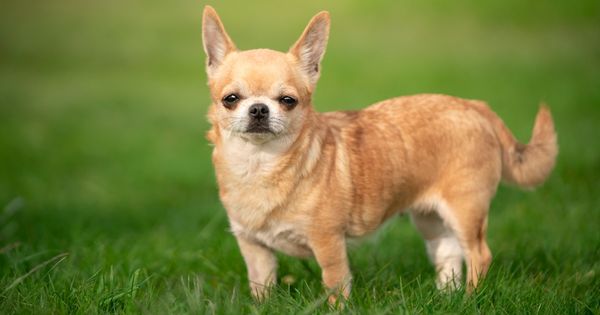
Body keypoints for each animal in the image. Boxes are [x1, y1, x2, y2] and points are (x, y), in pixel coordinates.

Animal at [200, 5, 556, 304]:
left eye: (288, 101)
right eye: (231, 99)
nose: (259, 109)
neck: (259, 166)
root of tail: (475, 107)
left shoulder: (328, 244)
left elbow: (335, 285)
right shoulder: (254, 249)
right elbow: (261, 286)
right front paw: (263, 307)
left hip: (465, 210)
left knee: (479, 255)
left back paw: (470, 299)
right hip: (431, 219)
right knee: (449, 255)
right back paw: (447, 298)